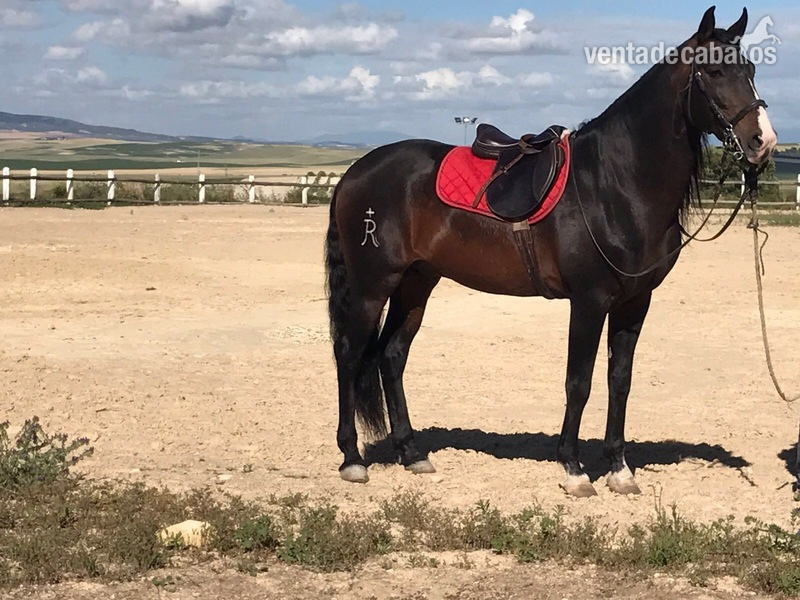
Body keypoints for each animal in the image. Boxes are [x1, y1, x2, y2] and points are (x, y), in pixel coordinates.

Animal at [324, 6, 778, 497]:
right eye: (714, 72)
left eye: (751, 70)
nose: (763, 142)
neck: (614, 183)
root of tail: (354, 173)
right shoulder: (589, 301)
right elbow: (578, 382)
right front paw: (574, 470)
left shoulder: (635, 303)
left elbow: (620, 381)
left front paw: (619, 468)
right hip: (373, 285)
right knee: (350, 353)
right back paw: (352, 458)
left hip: (417, 281)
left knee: (391, 356)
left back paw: (412, 453)